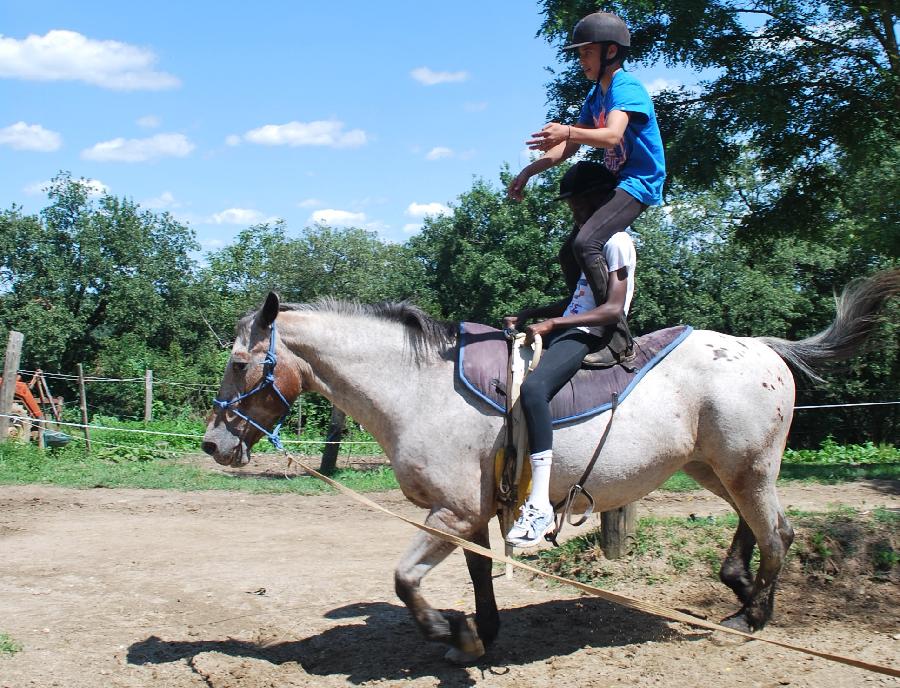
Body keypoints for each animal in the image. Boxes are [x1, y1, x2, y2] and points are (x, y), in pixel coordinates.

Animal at [204, 268, 900, 660]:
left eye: (239, 362)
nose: (213, 444)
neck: (417, 387)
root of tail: (760, 347)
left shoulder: (450, 513)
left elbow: (404, 581)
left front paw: (449, 634)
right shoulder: (470, 514)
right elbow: (479, 576)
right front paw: (479, 636)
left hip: (747, 468)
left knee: (777, 534)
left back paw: (754, 616)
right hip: (716, 468)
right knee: (763, 529)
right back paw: (740, 593)